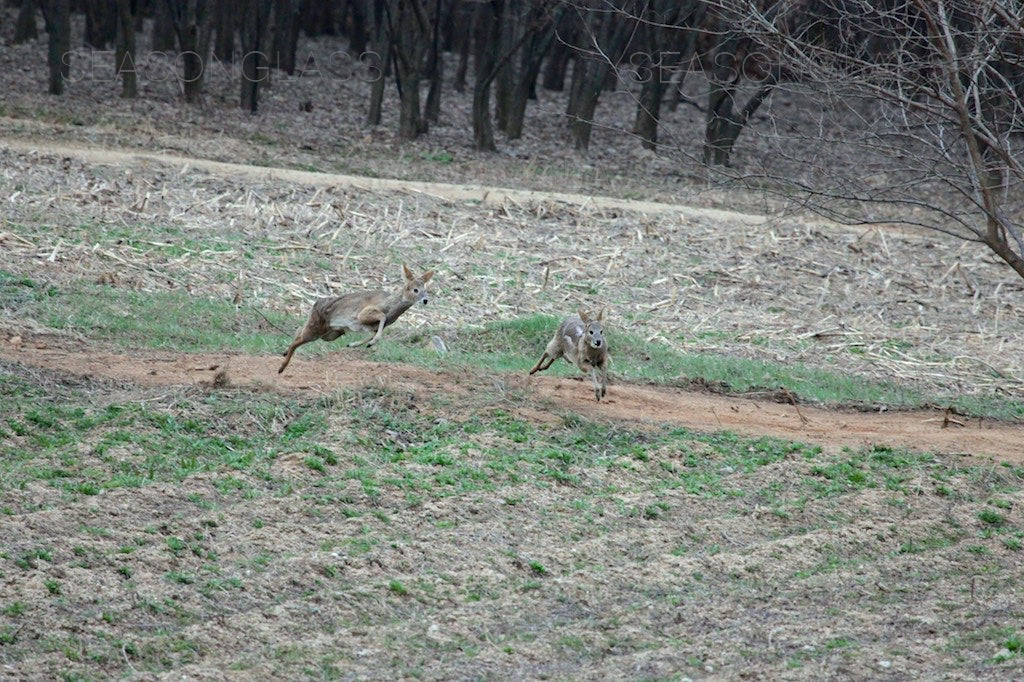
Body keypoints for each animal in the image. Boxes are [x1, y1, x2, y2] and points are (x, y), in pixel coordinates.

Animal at [276, 264, 432, 372]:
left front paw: (354, 344)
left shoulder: (371, 326)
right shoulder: (363, 314)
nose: (425, 300)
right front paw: (370, 343)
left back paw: (284, 352)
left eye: (426, 290)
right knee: (297, 340)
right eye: (415, 290)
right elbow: (380, 318)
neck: (391, 306)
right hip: (316, 330)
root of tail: (316, 304)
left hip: (330, 334)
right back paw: (281, 368)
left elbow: (373, 333)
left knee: (298, 331)